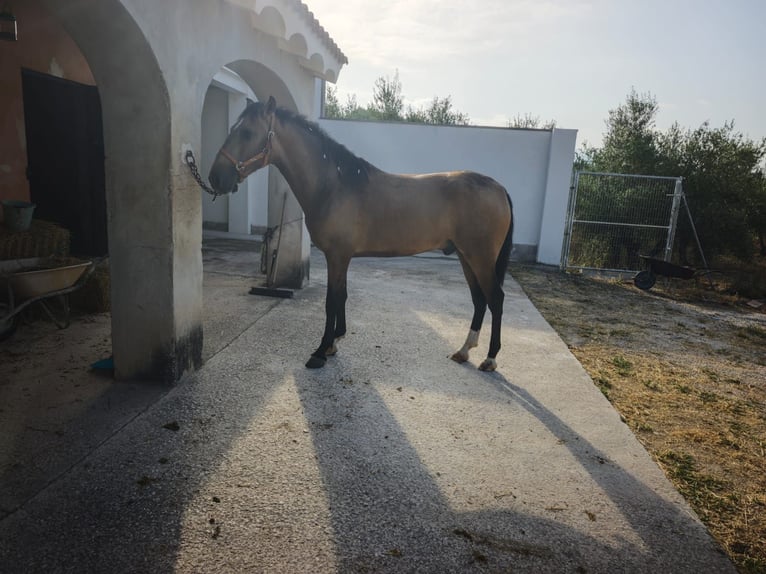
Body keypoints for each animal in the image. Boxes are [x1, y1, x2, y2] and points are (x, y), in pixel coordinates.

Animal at [208, 96, 513, 372]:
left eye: (247, 132)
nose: (215, 177)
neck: (334, 186)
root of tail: (498, 188)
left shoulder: (336, 256)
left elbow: (331, 301)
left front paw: (320, 351)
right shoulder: (342, 257)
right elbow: (341, 296)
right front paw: (333, 343)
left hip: (479, 258)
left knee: (495, 299)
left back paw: (490, 359)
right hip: (465, 256)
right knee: (479, 300)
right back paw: (464, 351)